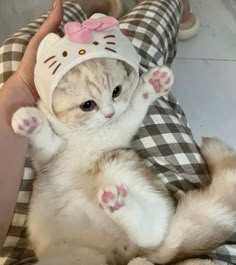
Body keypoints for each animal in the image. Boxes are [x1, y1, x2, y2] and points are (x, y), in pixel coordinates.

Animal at [12, 58, 236, 264]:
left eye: (116, 91)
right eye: (87, 105)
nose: (109, 113)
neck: (86, 132)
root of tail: (124, 253)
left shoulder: (117, 134)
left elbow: (132, 112)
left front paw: (150, 87)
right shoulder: (50, 156)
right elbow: (45, 141)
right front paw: (30, 122)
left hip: (117, 163)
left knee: (152, 232)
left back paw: (119, 204)